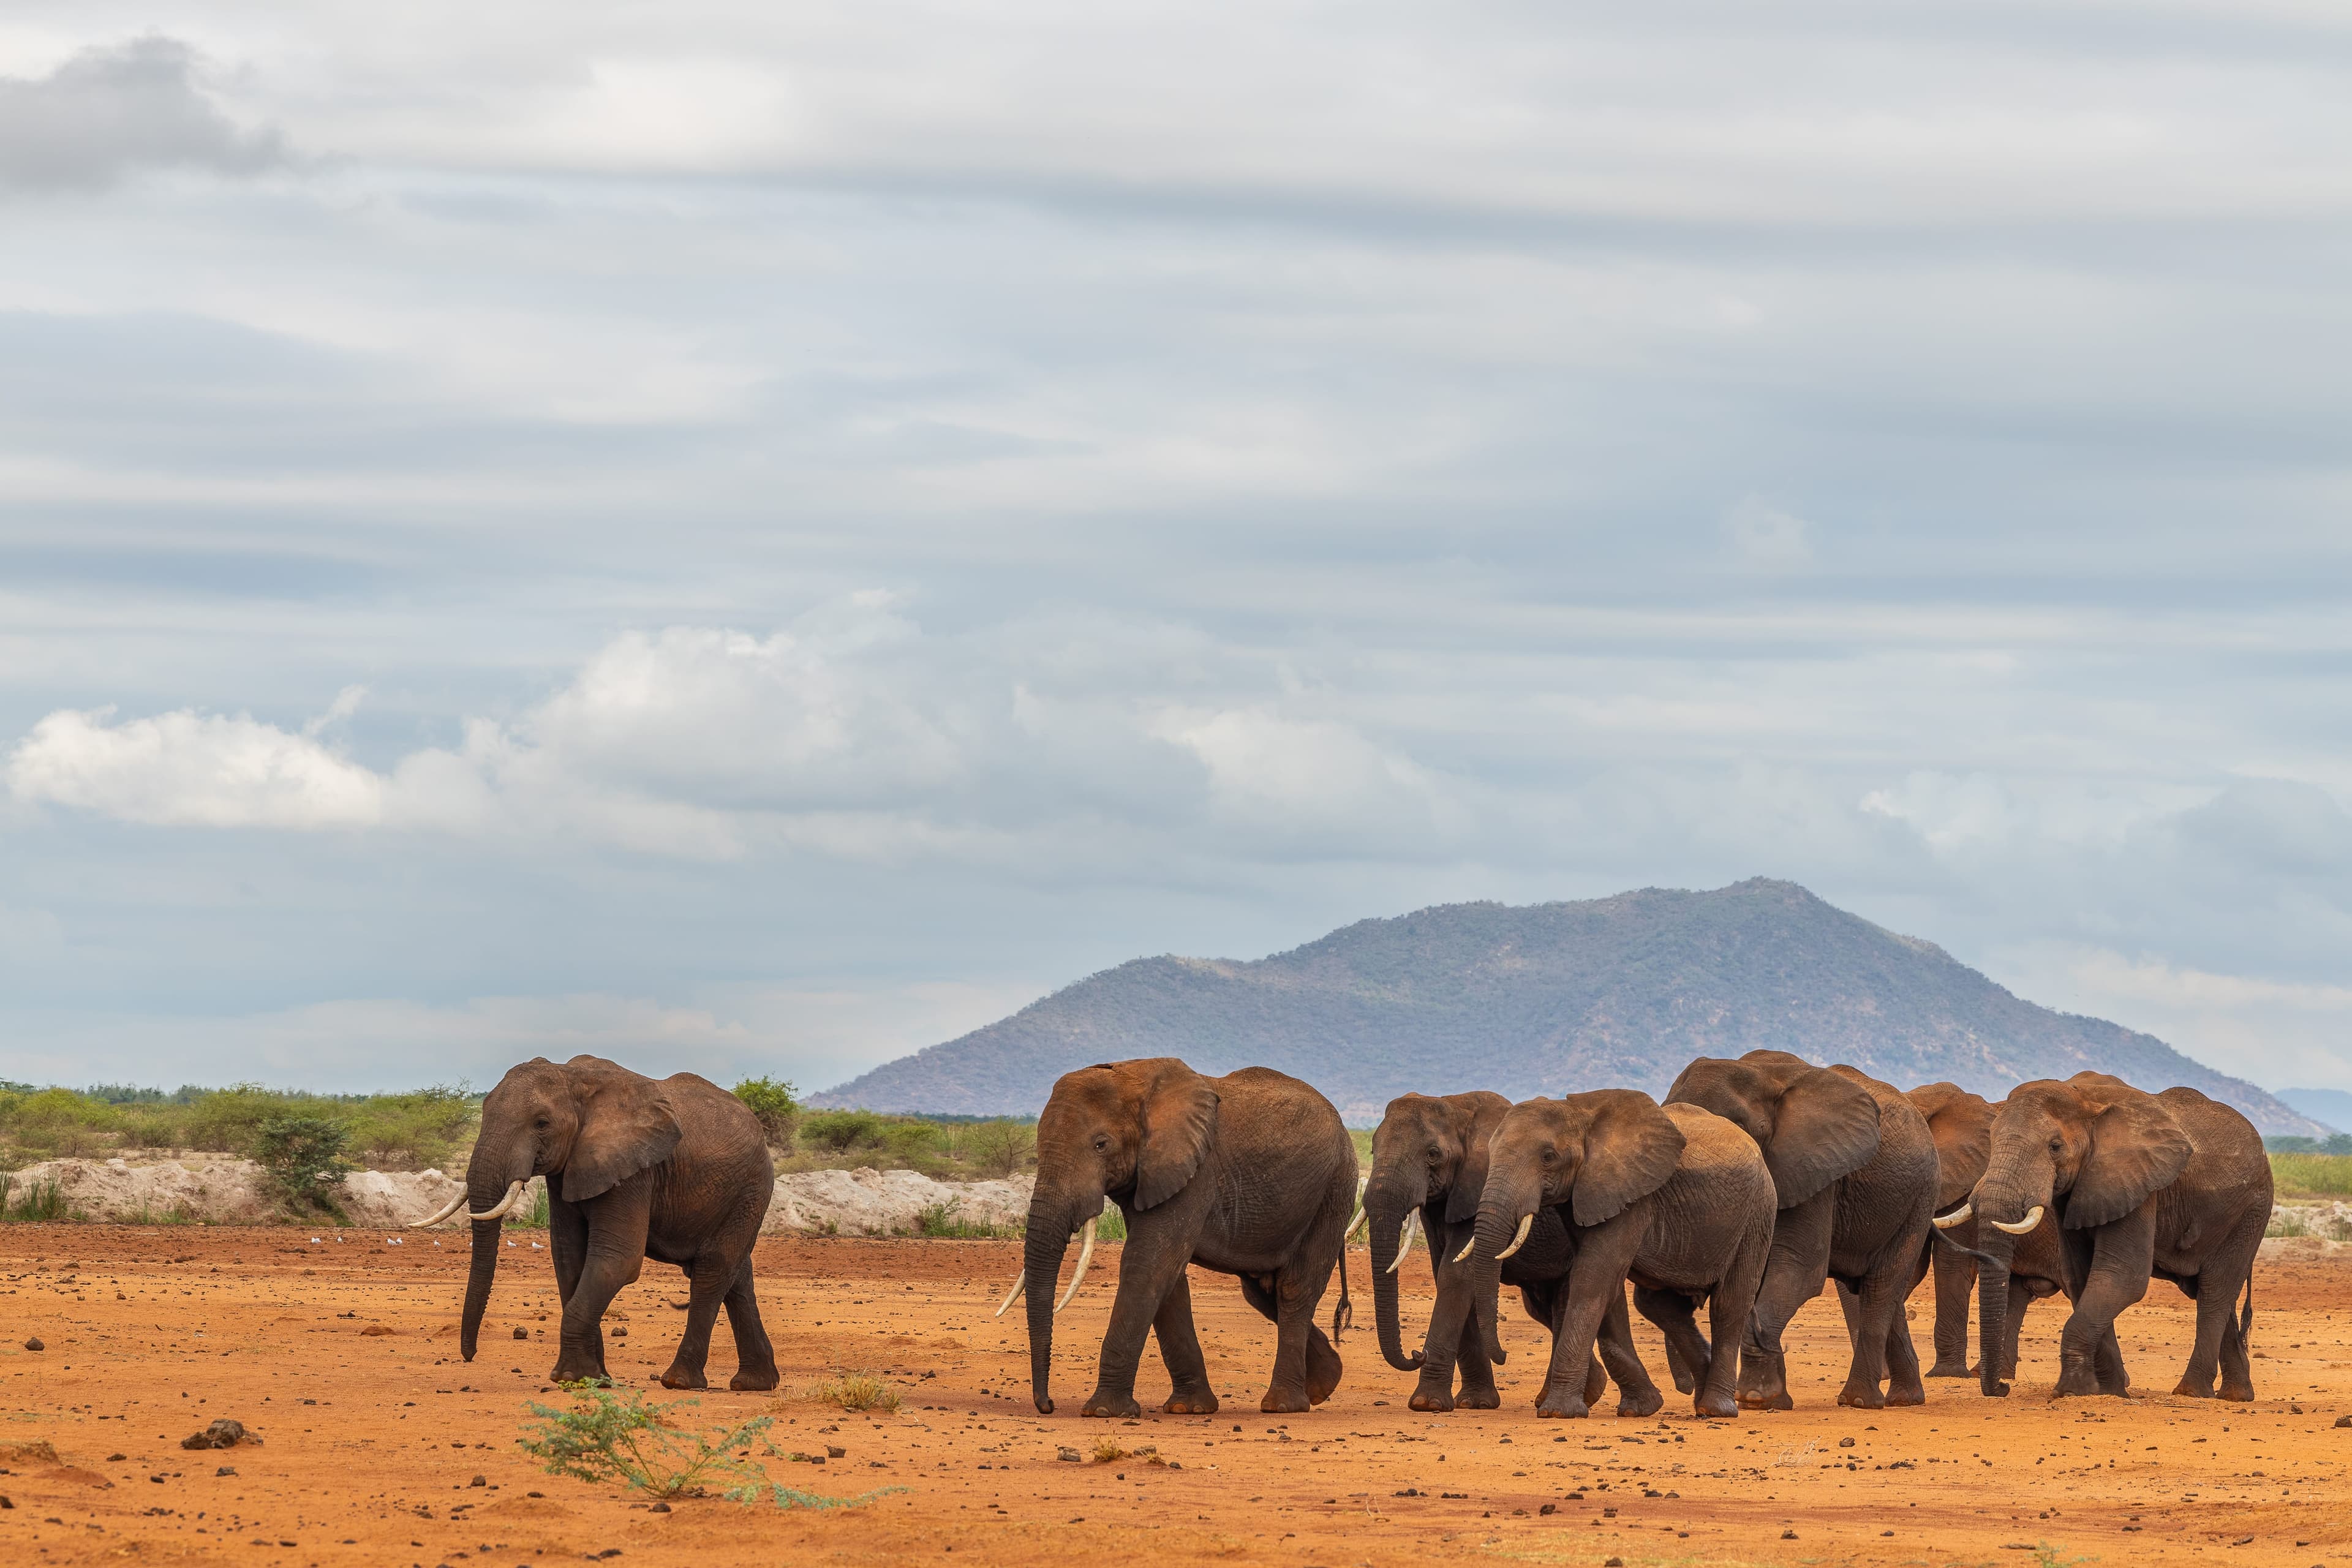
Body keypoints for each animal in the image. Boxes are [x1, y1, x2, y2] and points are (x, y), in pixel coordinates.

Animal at [411, 1054, 778, 1391]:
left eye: (541, 1123)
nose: (469, 1357)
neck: (574, 1079)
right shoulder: (568, 1169)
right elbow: (569, 1258)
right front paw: (595, 1378)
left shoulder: (633, 1170)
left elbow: (618, 1260)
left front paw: (569, 1377)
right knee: (737, 1274)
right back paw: (754, 1384)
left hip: (751, 1187)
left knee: (713, 1269)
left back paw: (679, 1382)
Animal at [1007, 1058, 1356, 1417]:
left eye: (1101, 1144)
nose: (1048, 1405)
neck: (1136, 1078)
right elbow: (1168, 1276)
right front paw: (1188, 1409)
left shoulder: (1196, 1171)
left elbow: (1148, 1263)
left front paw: (1105, 1412)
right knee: (1262, 1293)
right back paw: (1323, 1386)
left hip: (1334, 1190)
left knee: (1294, 1290)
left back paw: (1284, 1406)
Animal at [1458, 1091, 1777, 1419]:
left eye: (1548, 1156)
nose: (1504, 1355)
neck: (1579, 1113)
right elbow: (1607, 1287)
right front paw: (1640, 1408)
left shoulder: (1633, 1199)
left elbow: (1593, 1278)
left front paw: (1558, 1412)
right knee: (1659, 1306)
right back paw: (1701, 1402)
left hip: (1758, 1214)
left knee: (1729, 1304)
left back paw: (1716, 1410)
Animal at [1665, 1050, 1937, 1409]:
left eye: (1743, 1130)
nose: (1686, 1389)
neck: (1762, 1076)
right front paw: (1771, 1401)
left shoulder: (1815, 1168)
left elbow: (1799, 1267)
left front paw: (1757, 1398)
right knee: (1877, 1289)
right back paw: (1905, 1399)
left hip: (1919, 1198)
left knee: (1882, 1286)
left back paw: (1859, 1401)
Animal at [1952, 1072, 2269, 1401]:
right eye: (1991, 1138)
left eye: (2055, 1146)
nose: (2003, 1389)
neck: (2084, 1099)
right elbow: (2082, 1279)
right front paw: (2110, 1391)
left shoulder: (2137, 1183)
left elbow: (2123, 1277)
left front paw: (2071, 1390)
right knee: (2213, 1292)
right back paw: (2236, 1396)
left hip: (2249, 1212)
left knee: (2214, 1292)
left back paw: (2191, 1392)